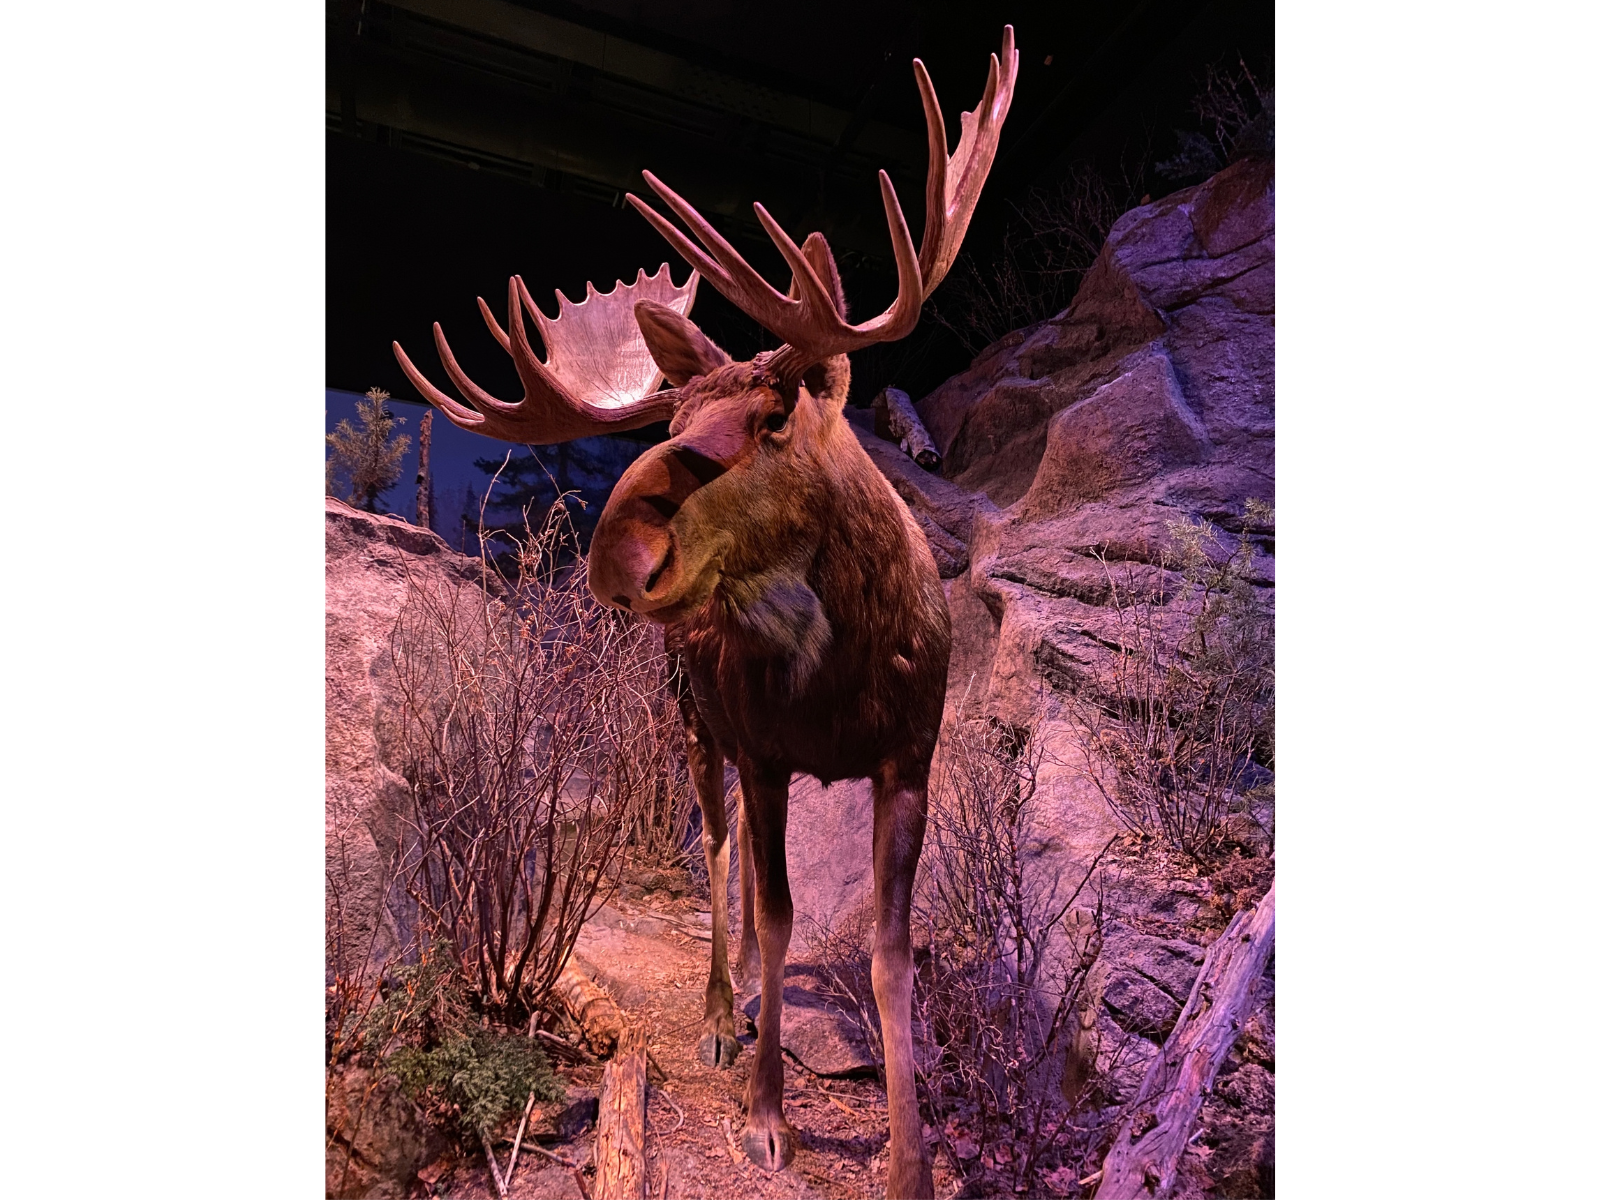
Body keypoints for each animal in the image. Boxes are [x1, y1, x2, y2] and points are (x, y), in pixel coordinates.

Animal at [392, 29, 1017, 1199]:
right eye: (673, 417)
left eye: (773, 415)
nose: (619, 548)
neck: (845, 675)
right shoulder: (765, 752)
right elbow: (774, 916)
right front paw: (769, 1115)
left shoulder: (911, 755)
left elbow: (890, 950)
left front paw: (910, 1159)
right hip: (693, 724)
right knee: (717, 848)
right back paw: (726, 1017)